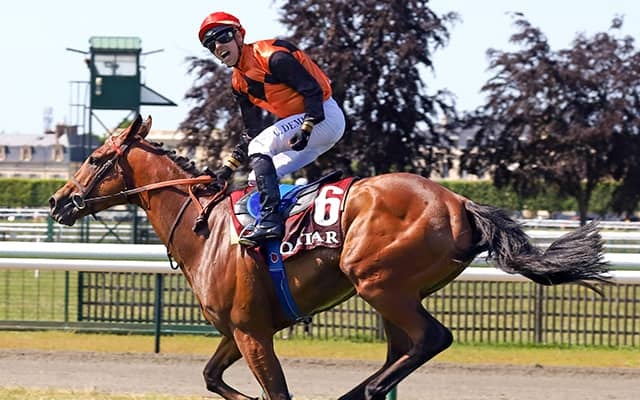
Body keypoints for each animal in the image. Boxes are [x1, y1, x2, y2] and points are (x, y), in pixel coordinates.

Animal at [49, 115, 609, 400]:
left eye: (95, 158)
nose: (57, 200)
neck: (204, 229)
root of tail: (459, 202)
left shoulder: (253, 332)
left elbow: (275, 395)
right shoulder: (239, 330)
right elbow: (211, 377)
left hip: (377, 282)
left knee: (431, 339)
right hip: (397, 294)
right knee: (403, 351)